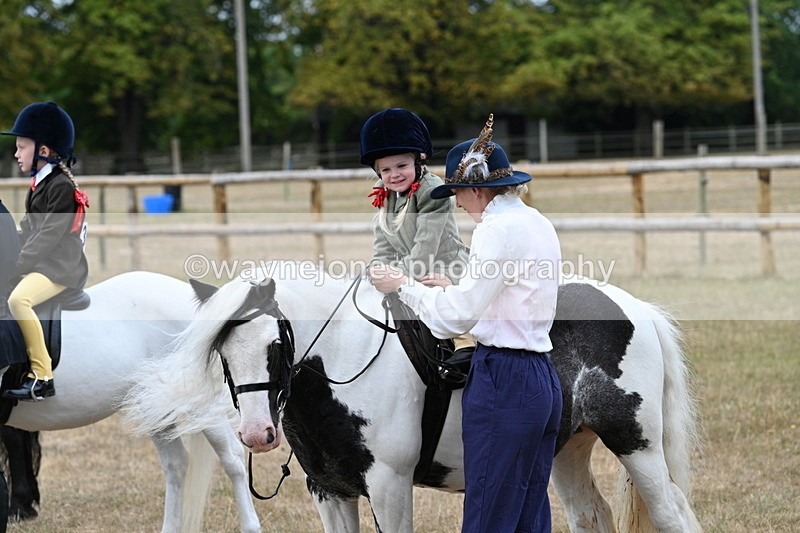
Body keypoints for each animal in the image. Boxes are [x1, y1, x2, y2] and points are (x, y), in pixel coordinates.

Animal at [123, 263, 702, 533]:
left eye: (275, 344)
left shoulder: (389, 486)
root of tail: (634, 306)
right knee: (591, 516)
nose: (255, 434)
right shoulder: (328, 490)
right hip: (566, 451)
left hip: (635, 443)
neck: (342, 370)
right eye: (222, 351)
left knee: (671, 513)